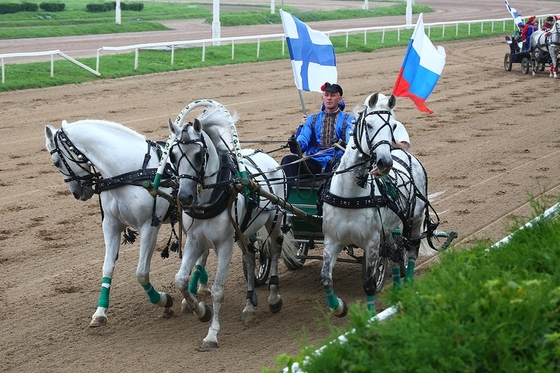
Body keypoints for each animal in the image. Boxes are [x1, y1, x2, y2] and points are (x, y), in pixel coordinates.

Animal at [43, 119, 206, 326]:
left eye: (56, 162)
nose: (78, 193)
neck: (129, 172)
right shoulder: (110, 225)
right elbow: (107, 267)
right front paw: (100, 312)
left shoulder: (149, 226)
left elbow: (141, 273)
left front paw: (162, 300)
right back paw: (201, 285)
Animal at [168, 99, 296, 348]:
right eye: (173, 154)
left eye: (199, 154)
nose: (185, 196)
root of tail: (268, 158)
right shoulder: (194, 242)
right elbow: (180, 280)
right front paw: (200, 311)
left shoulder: (224, 245)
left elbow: (218, 290)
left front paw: (212, 334)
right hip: (244, 231)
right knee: (249, 258)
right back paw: (249, 308)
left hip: (274, 220)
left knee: (274, 251)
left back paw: (274, 297)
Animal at [320, 91, 434, 316]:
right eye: (369, 124)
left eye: (393, 125)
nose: (384, 162)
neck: (350, 196)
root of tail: (404, 153)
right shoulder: (331, 240)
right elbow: (326, 280)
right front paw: (339, 308)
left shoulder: (371, 242)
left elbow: (369, 284)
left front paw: (371, 318)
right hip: (389, 228)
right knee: (395, 253)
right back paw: (397, 289)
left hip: (415, 220)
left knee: (411, 250)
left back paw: (408, 285)